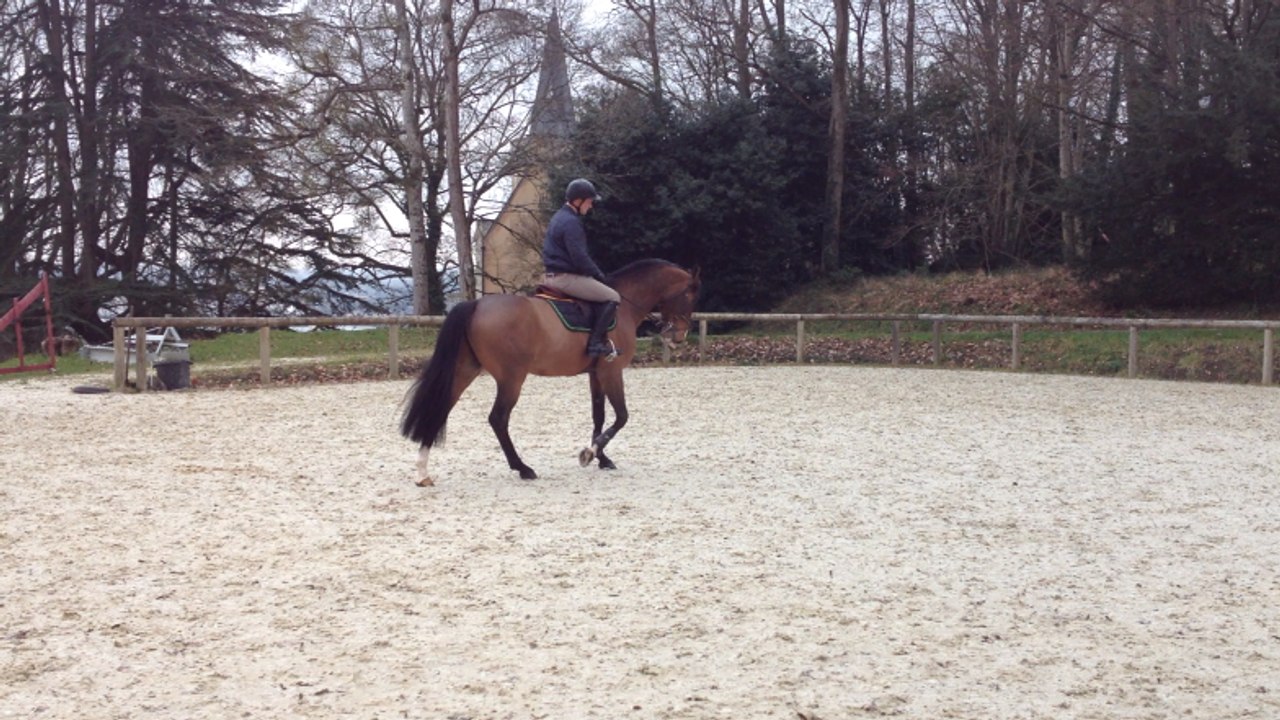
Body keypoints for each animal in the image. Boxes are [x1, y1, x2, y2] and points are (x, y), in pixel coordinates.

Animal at [400, 259, 701, 486]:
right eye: (689, 294)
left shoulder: (596, 374)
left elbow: (599, 415)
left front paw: (601, 458)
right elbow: (622, 416)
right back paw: (522, 468)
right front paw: (589, 453)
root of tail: (475, 305)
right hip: (511, 378)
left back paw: (422, 471)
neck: (624, 305)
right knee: (498, 419)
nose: (680, 336)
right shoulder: (612, 372)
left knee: (440, 408)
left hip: (465, 370)